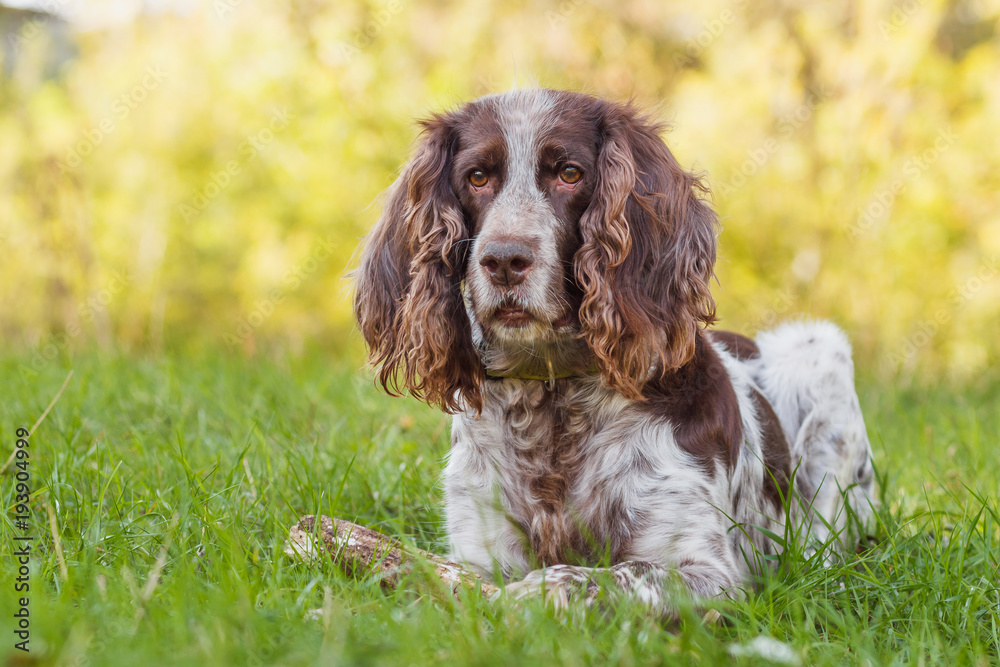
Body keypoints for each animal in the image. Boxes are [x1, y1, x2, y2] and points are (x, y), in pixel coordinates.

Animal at [354, 90, 876, 616]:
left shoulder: (709, 574)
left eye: (570, 173)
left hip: (821, 356)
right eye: (477, 177)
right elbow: (449, 578)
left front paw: (529, 596)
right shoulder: (480, 549)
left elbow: (598, 577)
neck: (553, 399)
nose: (503, 260)